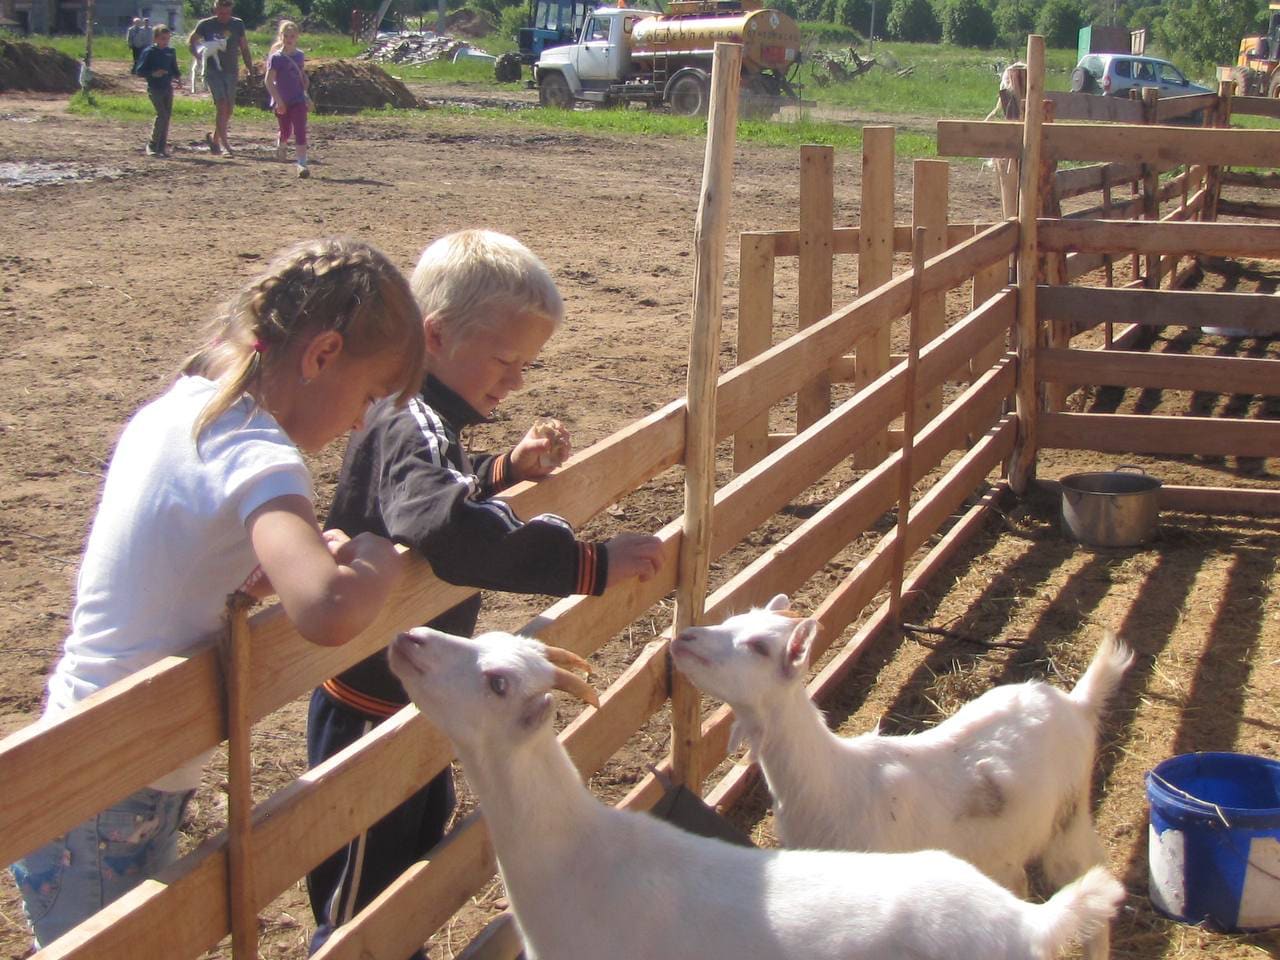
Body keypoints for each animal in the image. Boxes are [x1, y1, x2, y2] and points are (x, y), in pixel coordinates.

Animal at [675, 599, 1136, 960]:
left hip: (1069, 817)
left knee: (1092, 878)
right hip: (1002, 844)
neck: (833, 782)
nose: (683, 639)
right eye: (732, 620)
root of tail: (1075, 703)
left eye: (759, 646)